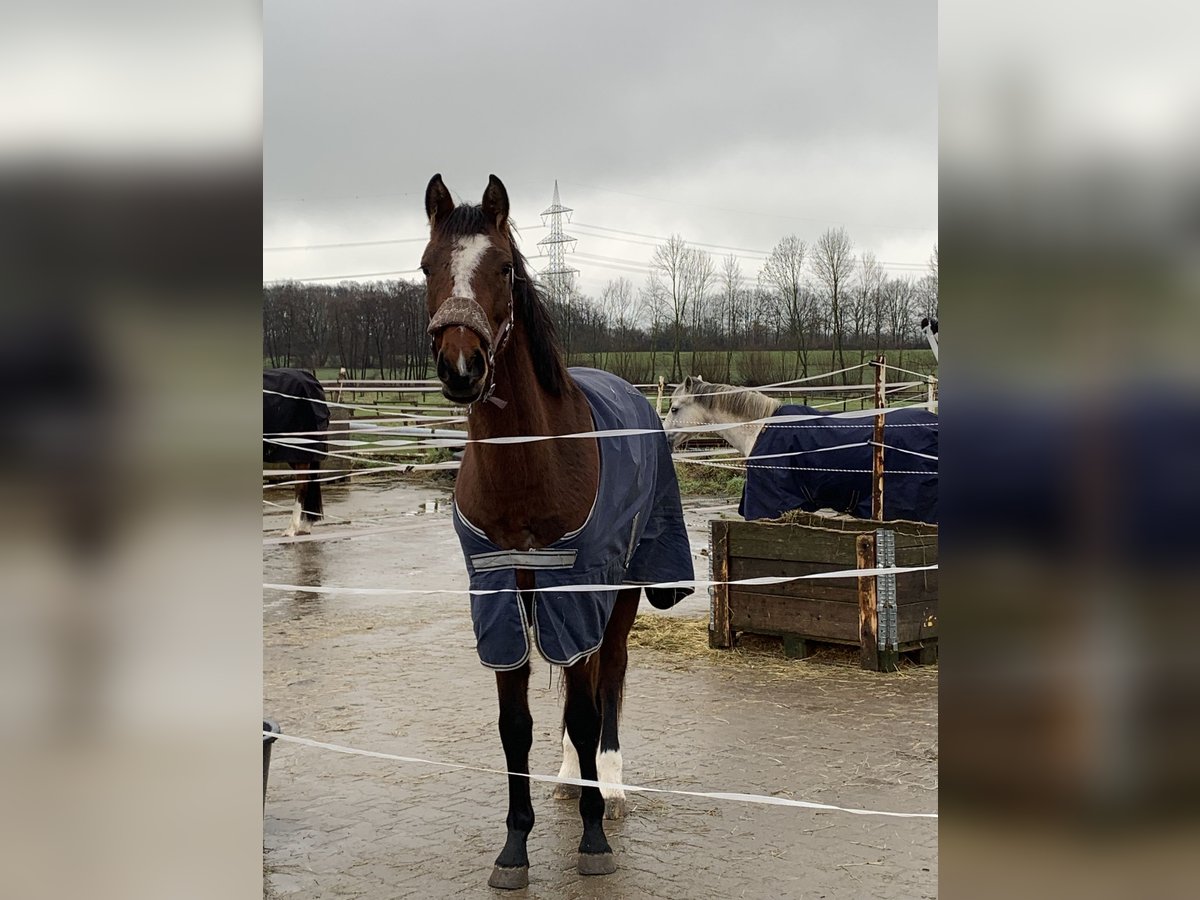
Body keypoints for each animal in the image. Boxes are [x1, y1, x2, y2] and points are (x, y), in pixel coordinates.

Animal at [424, 174, 696, 888]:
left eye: (504, 267)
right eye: (428, 266)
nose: (462, 366)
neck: (529, 463)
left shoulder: (579, 588)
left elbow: (584, 707)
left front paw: (594, 838)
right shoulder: (498, 595)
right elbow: (515, 724)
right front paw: (514, 847)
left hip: (623, 588)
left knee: (607, 679)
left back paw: (611, 786)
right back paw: (574, 777)